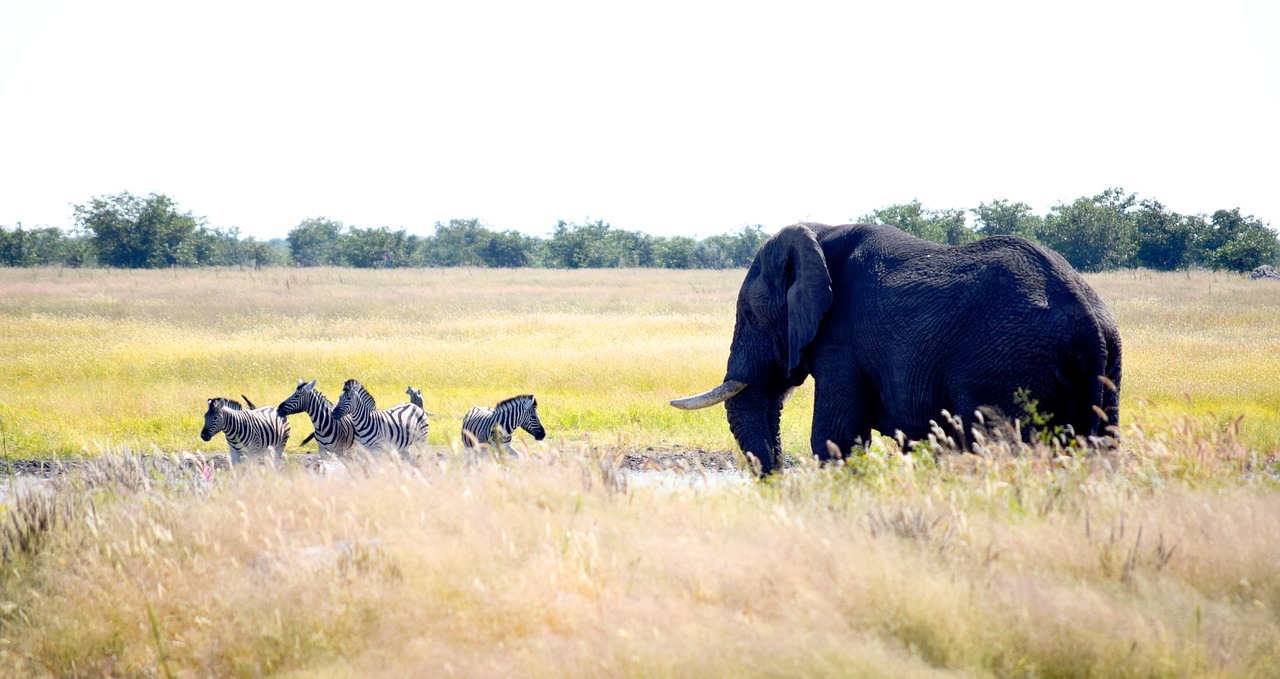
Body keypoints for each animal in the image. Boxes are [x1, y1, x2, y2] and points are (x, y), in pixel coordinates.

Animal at [670, 221, 1121, 471]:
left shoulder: (843, 342)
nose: (777, 479)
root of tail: (1087, 317)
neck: (821, 232)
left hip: (1006, 367)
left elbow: (836, 436)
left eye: (748, 314)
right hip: (1107, 364)